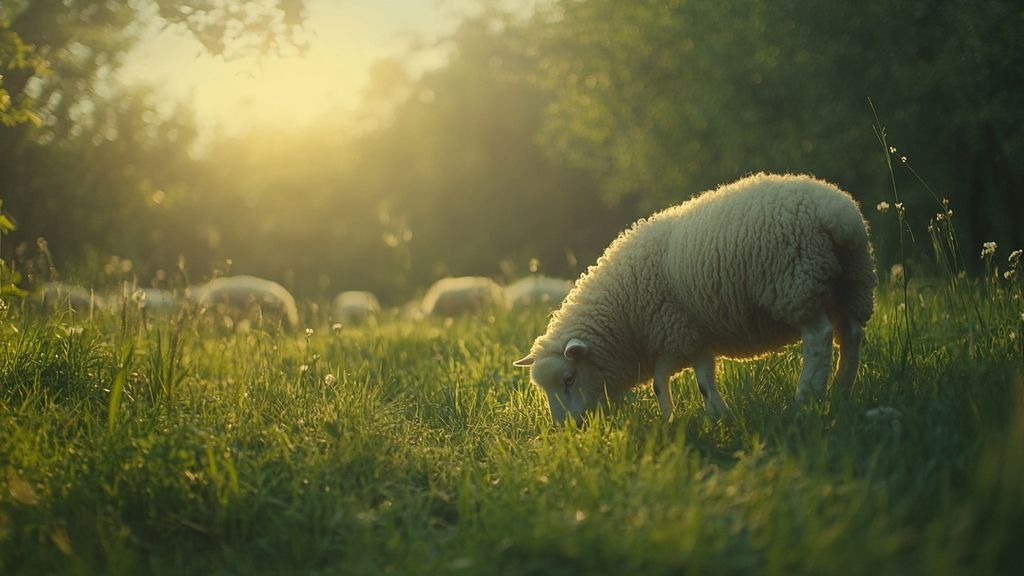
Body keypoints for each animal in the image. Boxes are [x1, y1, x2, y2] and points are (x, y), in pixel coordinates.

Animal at [513, 173, 876, 425]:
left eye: (569, 378)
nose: (566, 429)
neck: (624, 319)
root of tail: (839, 216)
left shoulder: (673, 331)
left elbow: (663, 383)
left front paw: (677, 419)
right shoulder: (692, 333)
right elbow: (697, 380)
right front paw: (712, 416)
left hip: (797, 285)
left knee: (820, 338)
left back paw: (806, 398)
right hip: (850, 283)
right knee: (851, 335)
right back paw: (842, 391)